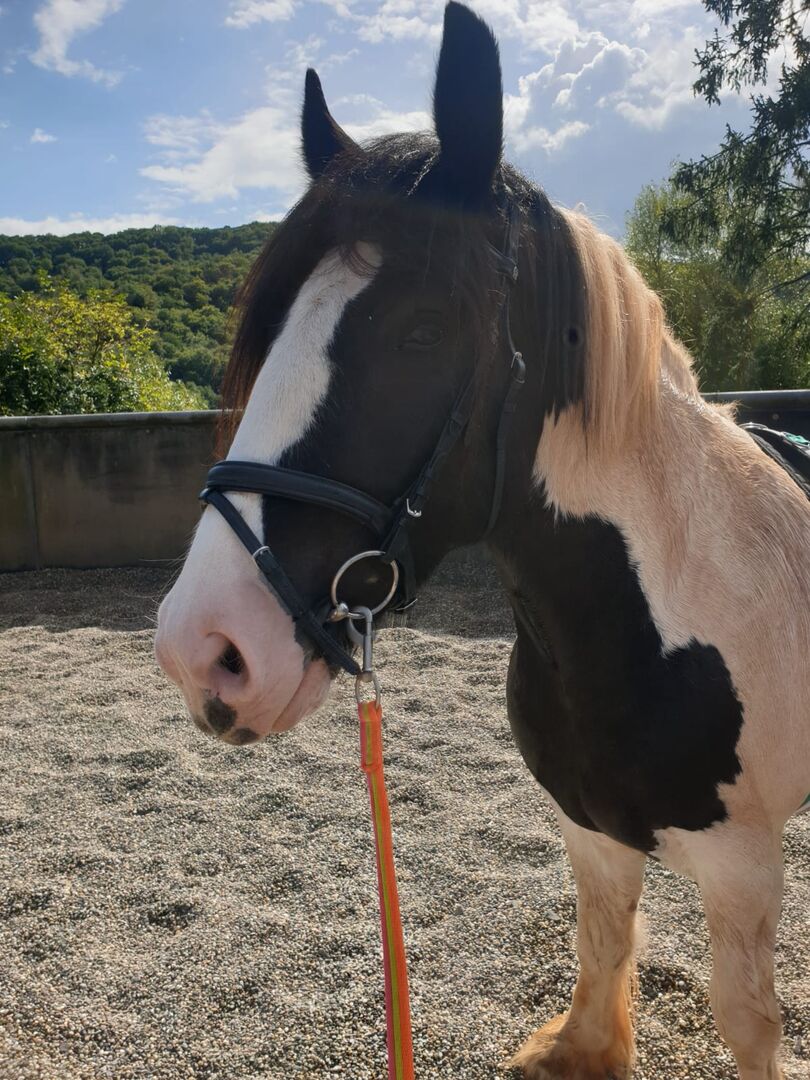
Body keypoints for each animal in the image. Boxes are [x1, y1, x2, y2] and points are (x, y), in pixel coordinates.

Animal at [154, 5, 810, 1077]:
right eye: (273, 324)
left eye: (424, 330)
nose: (203, 650)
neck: (665, 621)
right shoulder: (590, 827)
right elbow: (602, 940)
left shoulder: (742, 867)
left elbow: (745, 1020)